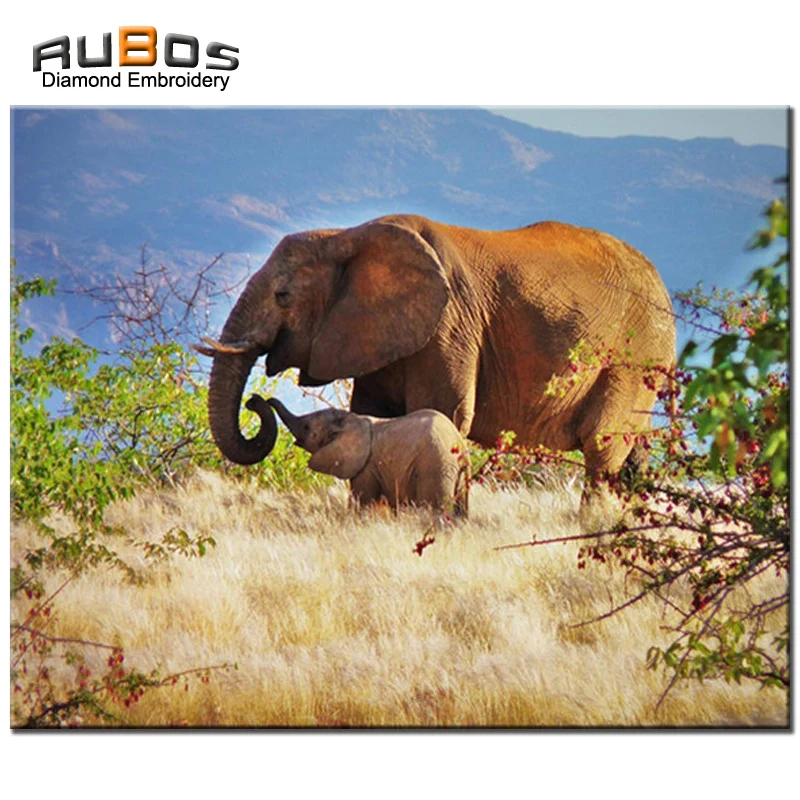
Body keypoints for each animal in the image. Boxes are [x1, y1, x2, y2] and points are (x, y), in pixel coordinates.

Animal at [196, 214, 675, 493]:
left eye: (282, 296)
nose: (256, 402)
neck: (347, 235)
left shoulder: (450, 323)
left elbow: (442, 412)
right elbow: (372, 416)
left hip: (636, 353)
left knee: (602, 446)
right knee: (633, 456)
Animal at [249, 395, 469, 516]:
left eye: (306, 427)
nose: (253, 401)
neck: (349, 419)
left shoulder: (366, 467)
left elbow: (362, 502)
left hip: (435, 466)